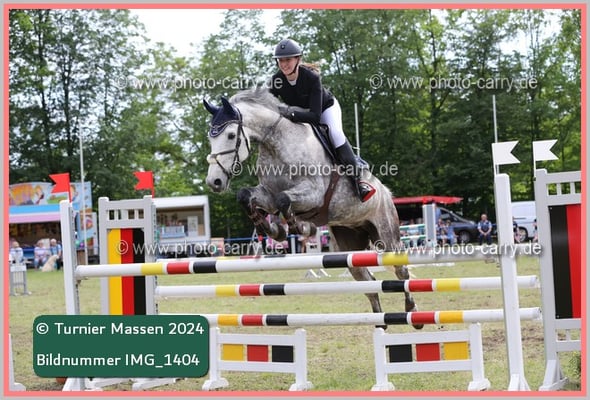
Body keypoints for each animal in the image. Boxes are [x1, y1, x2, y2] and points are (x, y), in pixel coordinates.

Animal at [203, 88, 421, 329]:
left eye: (231, 135)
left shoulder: (313, 194)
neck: (277, 143)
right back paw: (380, 324)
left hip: (387, 234)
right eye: (211, 137)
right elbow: (247, 196)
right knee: (368, 281)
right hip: (349, 244)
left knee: (402, 272)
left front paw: (295, 228)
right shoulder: (267, 194)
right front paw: (272, 229)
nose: (214, 182)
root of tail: (386, 192)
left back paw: (413, 312)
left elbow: (283, 200)